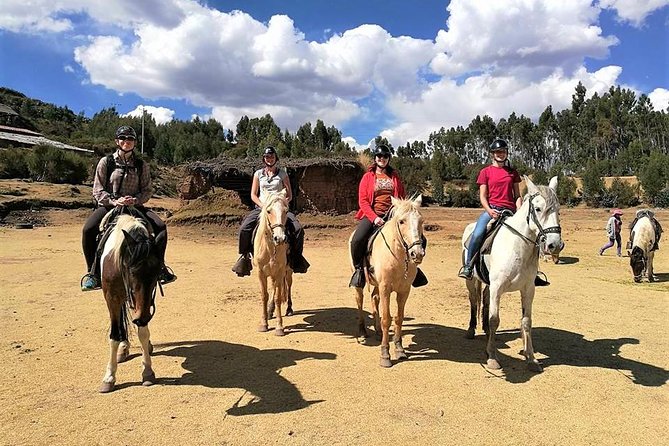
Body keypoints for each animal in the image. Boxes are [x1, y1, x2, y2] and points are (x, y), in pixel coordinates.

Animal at [98, 214, 162, 392]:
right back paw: (123, 347)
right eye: (132, 270)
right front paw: (109, 377)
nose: (142, 317)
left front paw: (147, 371)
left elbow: (143, 333)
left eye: (157, 272)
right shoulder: (111, 298)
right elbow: (114, 335)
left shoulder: (144, 304)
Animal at [253, 190, 292, 336]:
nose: (279, 238)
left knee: (288, 286)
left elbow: (277, 298)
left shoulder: (280, 271)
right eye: (268, 211)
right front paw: (264, 324)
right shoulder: (261, 272)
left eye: (286, 211)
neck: (270, 248)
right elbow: (265, 295)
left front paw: (279, 327)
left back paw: (289, 309)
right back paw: (270, 311)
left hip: (287, 272)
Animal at [350, 197, 422, 368]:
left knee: (374, 299)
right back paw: (362, 331)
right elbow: (386, 319)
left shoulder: (404, 290)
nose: (417, 253)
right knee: (360, 300)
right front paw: (385, 355)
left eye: (421, 221)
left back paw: (377, 331)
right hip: (362, 284)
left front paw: (399, 349)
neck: (398, 256)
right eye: (401, 221)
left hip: (377, 284)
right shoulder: (385, 288)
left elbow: (399, 318)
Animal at [462, 176, 560, 372]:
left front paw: (531, 358)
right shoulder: (497, 288)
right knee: (474, 301)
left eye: (558, 210)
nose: (555, 245)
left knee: (484, 300)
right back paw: (471, 330)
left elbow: (526, 321)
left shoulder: (528, 289)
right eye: (538, 209)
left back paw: (486, 331)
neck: (517, 248)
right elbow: (494, 319)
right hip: (471, 281)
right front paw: (492, 357)